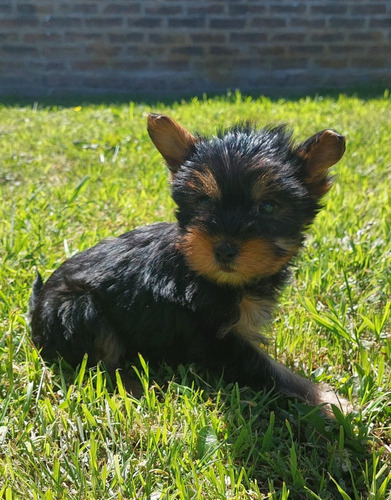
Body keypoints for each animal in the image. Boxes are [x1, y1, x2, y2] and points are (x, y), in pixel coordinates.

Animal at [30, 113, 350, 414]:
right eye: (204, 201)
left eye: (268, 207)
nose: (224, 250)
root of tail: (37, 305)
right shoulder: (217, 341)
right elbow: (270, 371)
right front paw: (330, 403)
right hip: (77, 309)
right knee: (101, 364)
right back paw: (135, 388)